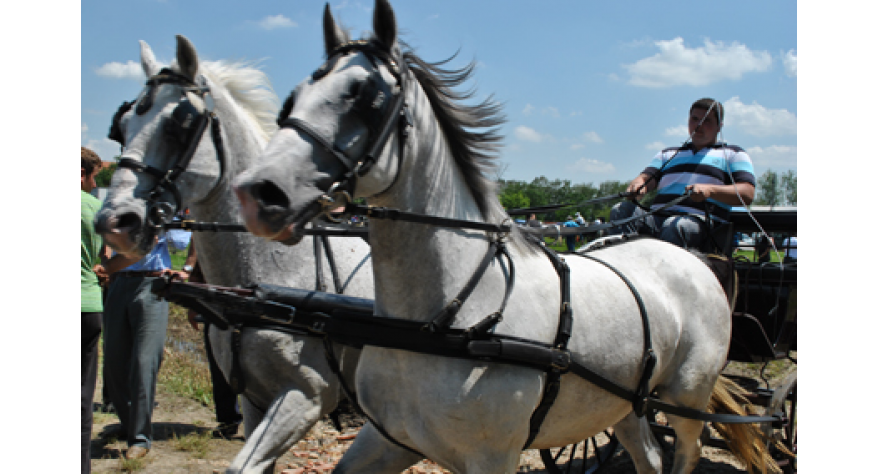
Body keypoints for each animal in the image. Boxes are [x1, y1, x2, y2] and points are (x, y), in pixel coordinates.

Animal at [234, 1, 776, 472]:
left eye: (366, 99)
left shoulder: (492, 458)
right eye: (294, 97)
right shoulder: (389, 439)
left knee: (683, 451)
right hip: (624, 404)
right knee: (647, 456)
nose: (258, 193)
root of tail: (692, 261)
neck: (445, 316)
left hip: (687, 401)